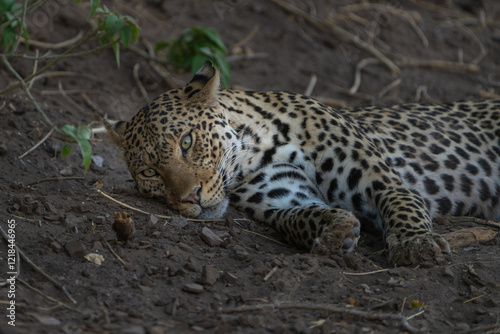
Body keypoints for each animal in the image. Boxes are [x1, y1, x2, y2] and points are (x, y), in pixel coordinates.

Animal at [105, 61, 500, 266]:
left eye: (186, 142)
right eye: (150, 173)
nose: (190, 198)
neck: (256, 149)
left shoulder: (381, 178)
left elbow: (400, 203)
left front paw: (416, 244)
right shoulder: (281, 195)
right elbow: (295, 218)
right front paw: (333, 230)